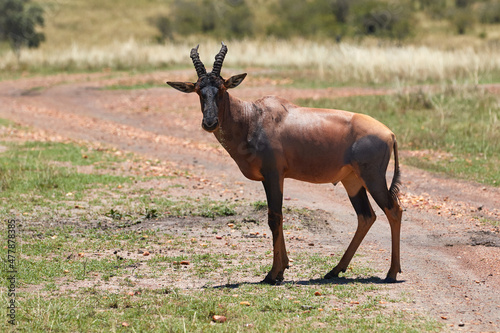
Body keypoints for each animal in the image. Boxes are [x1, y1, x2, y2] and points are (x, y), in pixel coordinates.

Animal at [167, 42, 402, 284]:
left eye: (222, 88)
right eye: (199, 90)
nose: (210, 122)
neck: (252, 117)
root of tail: (390, 133)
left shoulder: (274, 174)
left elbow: (274, 217)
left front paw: (272, 274)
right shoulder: (270, 177)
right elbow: (276, 216)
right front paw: (283, 268)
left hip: (372, 178)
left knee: (394, 210)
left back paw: (391, 273)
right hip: (352, 181)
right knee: (366, 216)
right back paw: (335, 270)